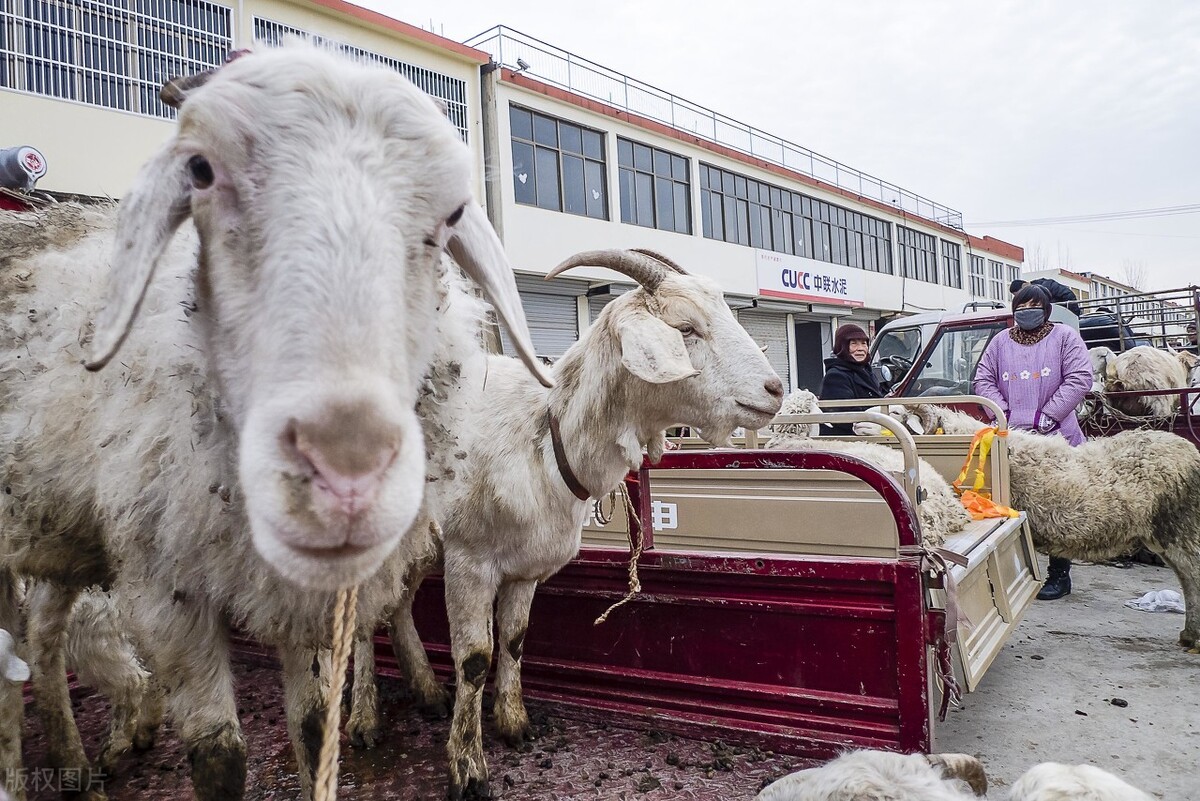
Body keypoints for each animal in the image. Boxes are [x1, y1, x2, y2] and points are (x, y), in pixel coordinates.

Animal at [0, 45, 544, 801]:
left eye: (454, 211)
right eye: (200, 171)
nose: (346, 455)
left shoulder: (304, 598)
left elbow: (314, 727)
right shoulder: (167, 588)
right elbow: (220, 760)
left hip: (62, 533)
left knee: (46, 641)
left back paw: (75, 761)